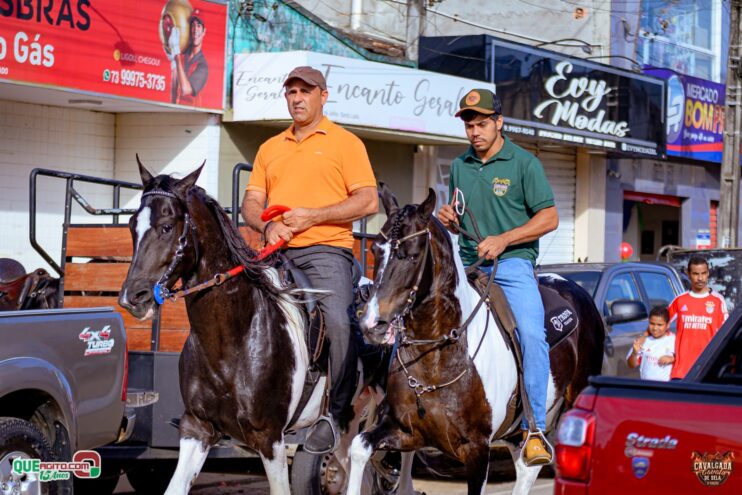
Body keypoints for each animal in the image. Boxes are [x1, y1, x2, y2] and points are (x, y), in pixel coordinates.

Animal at [118, 159, 402, 495]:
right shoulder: (197, 428)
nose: (132, 298)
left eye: (166, 226)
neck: (231, 341)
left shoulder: (269, 438)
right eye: (131, 225)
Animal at [347, 185, 604, 495]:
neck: (438, 358)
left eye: (411, 255)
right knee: (525, 467)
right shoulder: (406, 431)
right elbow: (359, 447)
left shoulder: (477, 450)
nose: (372, 323)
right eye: (375, 250)